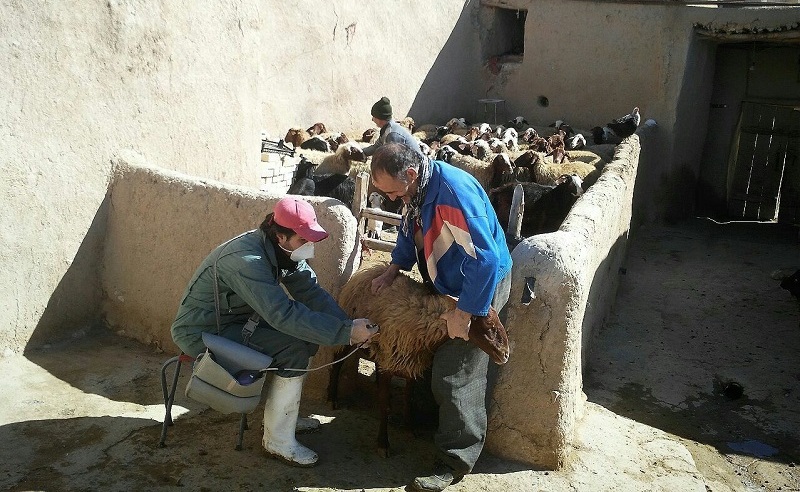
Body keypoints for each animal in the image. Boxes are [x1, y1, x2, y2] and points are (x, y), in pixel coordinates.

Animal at [332, 266, 512, 458]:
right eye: (489, 326)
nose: (505, 354)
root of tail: (366, 271)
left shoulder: (411, 365)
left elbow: (408, 399)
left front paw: (409, 428)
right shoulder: (389, 363)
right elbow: (384, 405)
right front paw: (383, 443)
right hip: (352, 334)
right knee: (337, 362)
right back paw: (332, 398)